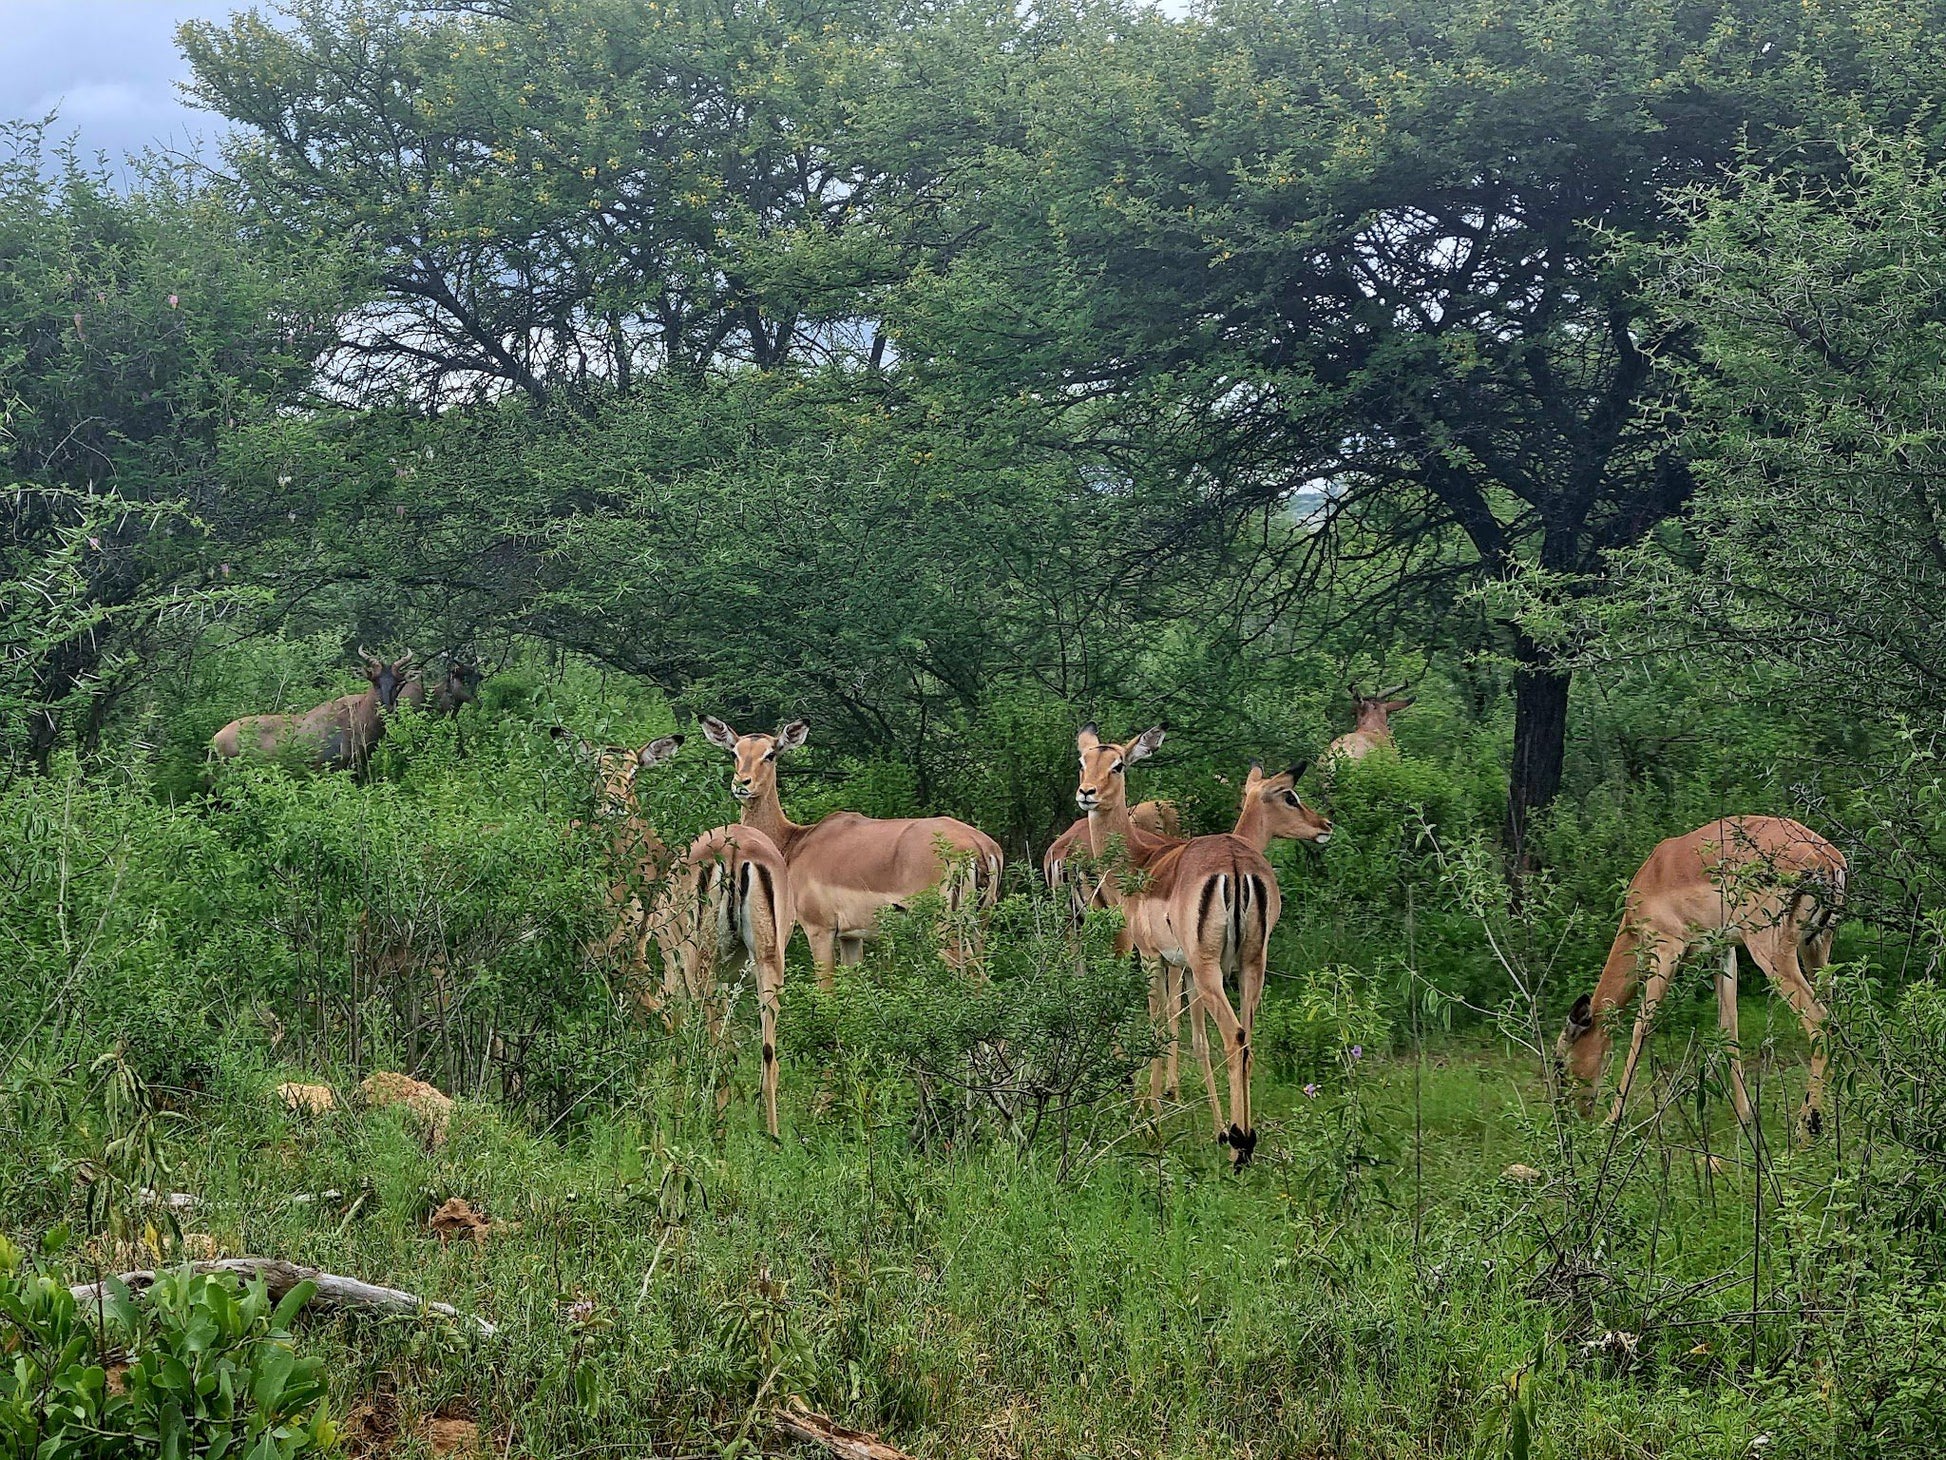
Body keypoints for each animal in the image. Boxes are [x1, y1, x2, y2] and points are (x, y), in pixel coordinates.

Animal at [700, 720, 1004, 996]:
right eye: (735, 752)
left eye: (771, 753)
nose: (742, 783)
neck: (795, 842)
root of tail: (979, 846)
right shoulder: (850, 937)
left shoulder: (819, 930)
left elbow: (827, 991)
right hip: (979, 925)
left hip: (945, 930)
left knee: (975, 980)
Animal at [1074, 728, 1299, 1175]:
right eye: (1083, 761)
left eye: (1118, 764)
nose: (1087, 793)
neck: (1140, 863)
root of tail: (1235, 863)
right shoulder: (1184, 968)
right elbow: (1191, 1037)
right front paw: (1214, 1129)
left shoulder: (1152, 958)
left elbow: (1159, 1029)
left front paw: (1152, 1124)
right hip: (1251, 965)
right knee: (1248, 1041)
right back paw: (1245, 1139)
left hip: (1210, 969)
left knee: (1234, 1036)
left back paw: (1240, 1149)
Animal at [1556, 825, 1844, 1144]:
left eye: (1559, 1062)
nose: (1568, 1118)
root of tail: (1825, 858)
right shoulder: (1723, 952)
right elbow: (1728, 1027)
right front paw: (1745, 1117)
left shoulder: (1666, 949)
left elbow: (1640, 1029)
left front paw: (1611, 1122)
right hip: (1817, 947)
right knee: (1835, 1018)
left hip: (1773, 953)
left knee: (1819, 1022)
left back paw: (1808, 1128)